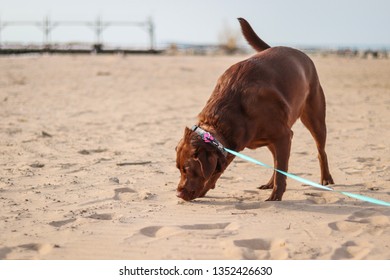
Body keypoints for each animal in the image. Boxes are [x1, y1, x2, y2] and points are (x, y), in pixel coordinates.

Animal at [175, 18, 334, 201]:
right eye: (178, 168)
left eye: (187, 169)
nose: (178, 193)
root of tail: (298, 52)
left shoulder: (284, 135)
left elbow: (282, 171)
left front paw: (276, 197)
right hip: (273, 139)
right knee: (276, 161)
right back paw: (269, 183)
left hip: (314, 118)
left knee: (320, 151)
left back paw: (326, 178)